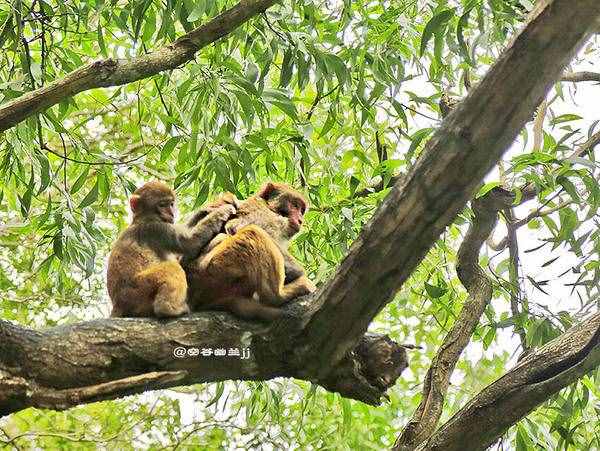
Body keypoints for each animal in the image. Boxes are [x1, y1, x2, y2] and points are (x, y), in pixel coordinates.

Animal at [105, 180, 237, 318]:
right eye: (162, 205)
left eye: (171, 204)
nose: (171, 213)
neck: (140, 219)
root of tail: (118, 305)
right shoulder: (156, 229)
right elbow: (190, 243)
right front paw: (222, 211)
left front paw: (205, 210)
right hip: (136, 291)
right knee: (172, 268)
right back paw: (168, 309)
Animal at [183, 182, 316, 324]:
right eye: (295, 205)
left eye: (302, 210)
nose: (300, 220)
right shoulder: (265, 214)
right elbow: (238, 227)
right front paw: (299, 273)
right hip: (211, 269)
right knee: (253, 232)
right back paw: (277, 296)